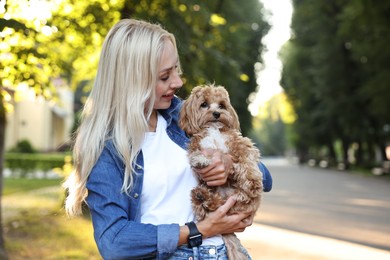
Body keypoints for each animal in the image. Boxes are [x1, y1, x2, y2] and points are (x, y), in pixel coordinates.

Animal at [180, 84, 262, 258]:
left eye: (222, 105)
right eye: (204, 104)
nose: (217, 113)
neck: (214, 130)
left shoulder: (241, 144)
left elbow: (247, 161)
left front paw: (252, 181)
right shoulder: (197, 145)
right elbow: (196, 154)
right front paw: (200, 160)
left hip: (242, 203)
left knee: (237, 200)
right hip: (213, 195)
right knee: (209, 208)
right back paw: (202, 197)